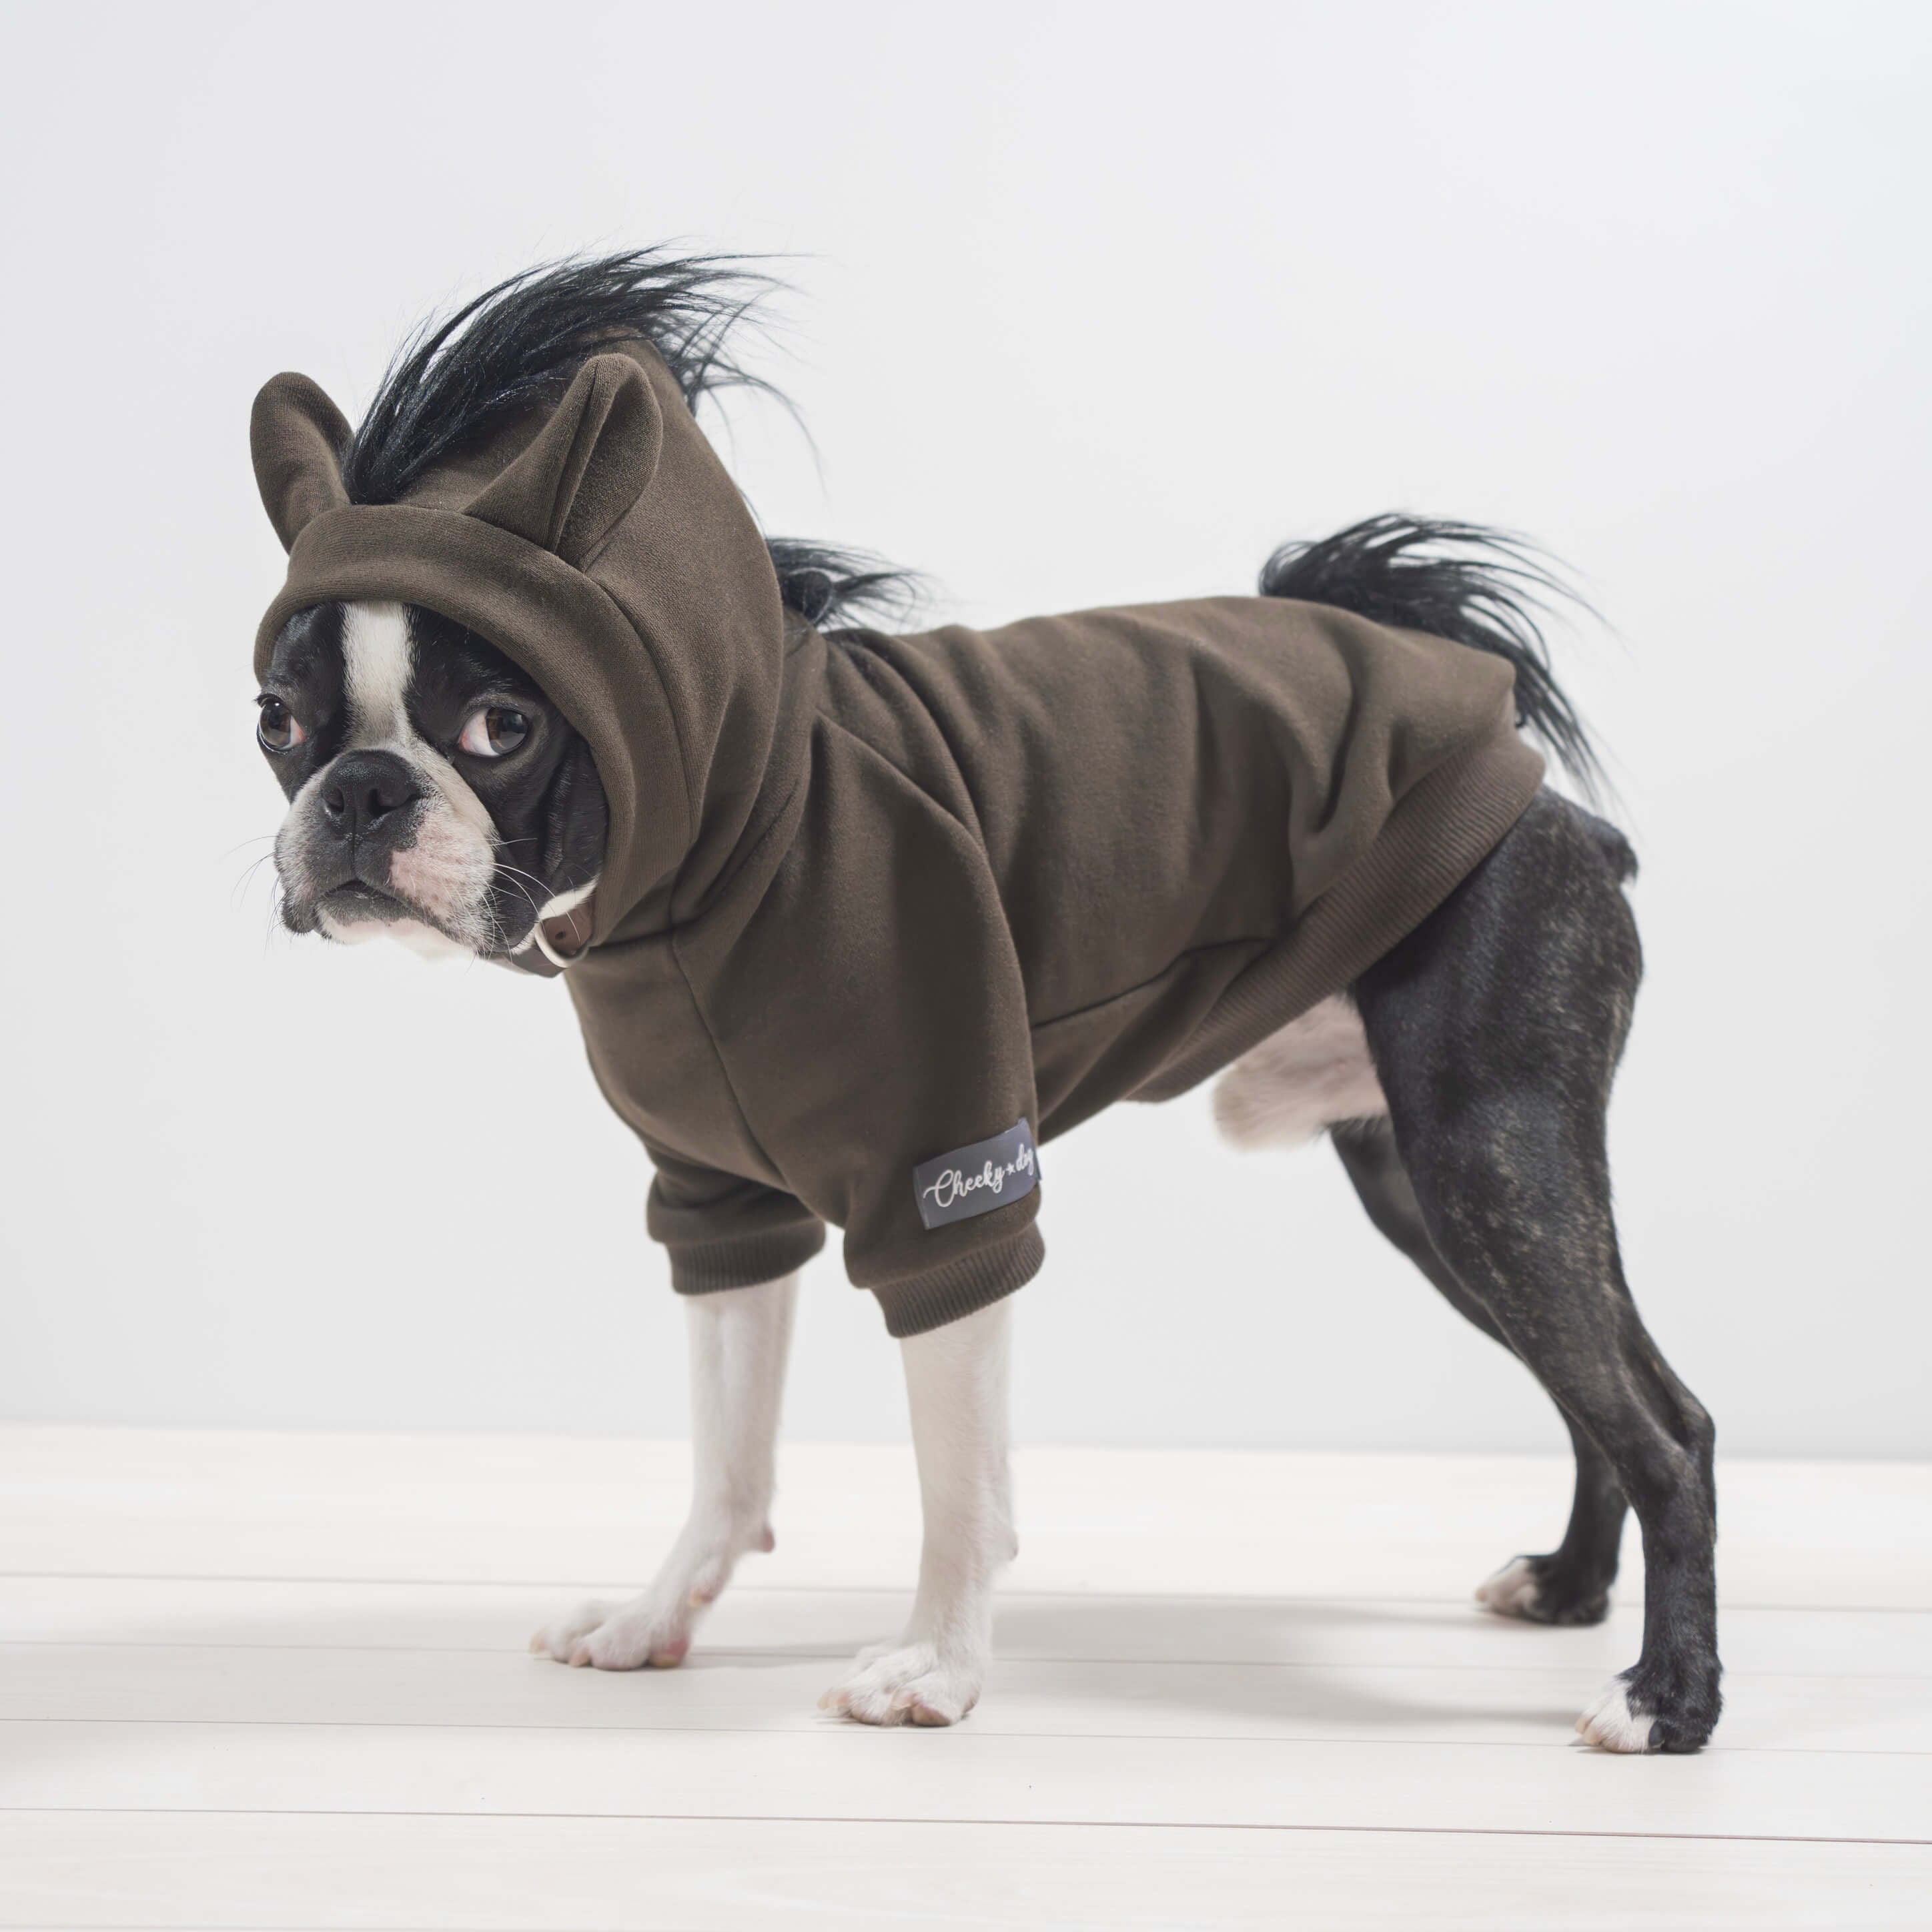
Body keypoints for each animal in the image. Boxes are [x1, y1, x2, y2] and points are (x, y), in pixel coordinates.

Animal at [250, 251, 1718, 1752]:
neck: (715, 857)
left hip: (1487, 1162)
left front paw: (937, 1671)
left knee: (1664, 1425)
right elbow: (727, 1461)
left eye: (503, 725)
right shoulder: (720, 1210)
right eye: (277, 720)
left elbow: (959, 1484)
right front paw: (656, 1620)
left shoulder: (945, 1184)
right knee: (1614, 1395)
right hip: (1432, 1190)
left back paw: (1665, 1700)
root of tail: (1558, 807)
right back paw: (1569, 1591)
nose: (362, 790)